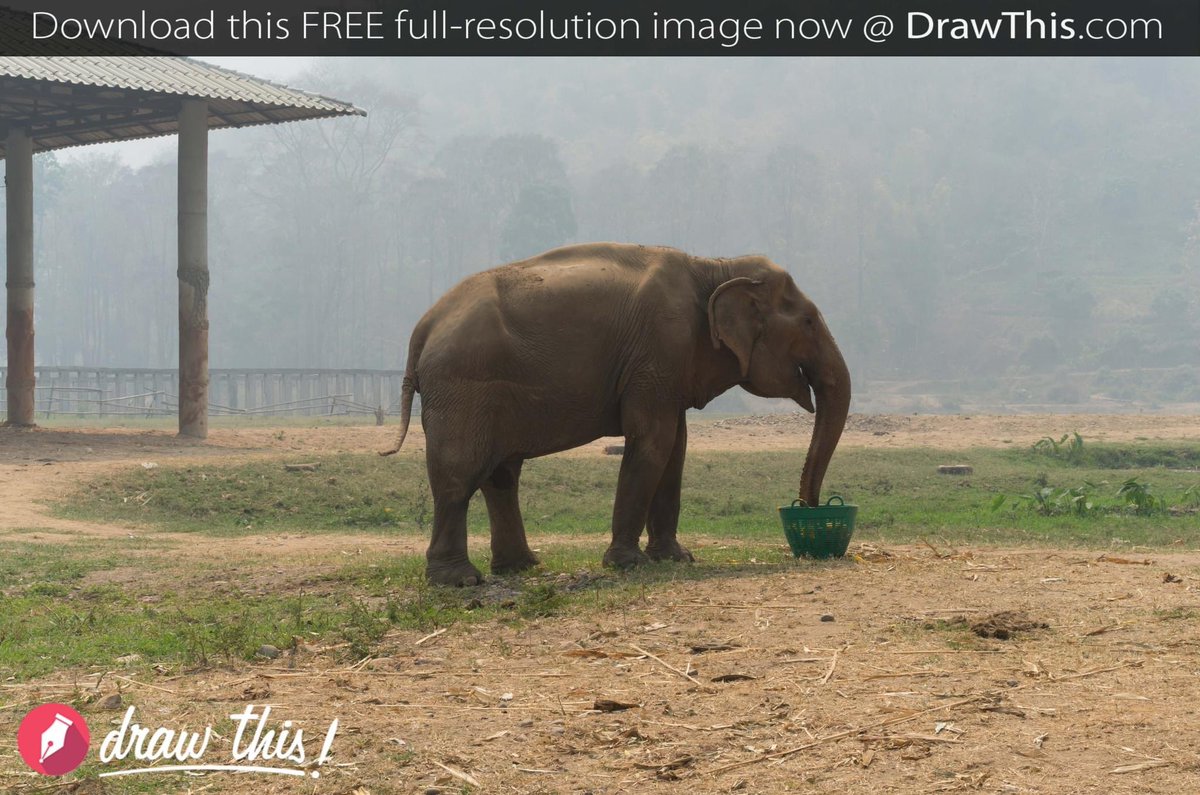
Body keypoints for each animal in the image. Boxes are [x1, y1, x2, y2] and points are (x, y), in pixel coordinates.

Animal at [382, 243, 851, 586]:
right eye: (809, 322)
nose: (808, 508)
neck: (715, 266)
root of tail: (422, 329)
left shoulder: (668, 366)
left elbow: (676, 448)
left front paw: (676, 559)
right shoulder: (658, 349)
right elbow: (653, 440)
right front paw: (629, 564)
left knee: (501, 476)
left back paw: (521, 567)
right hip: (464, 386)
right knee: (460, 476)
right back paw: (459, 581)